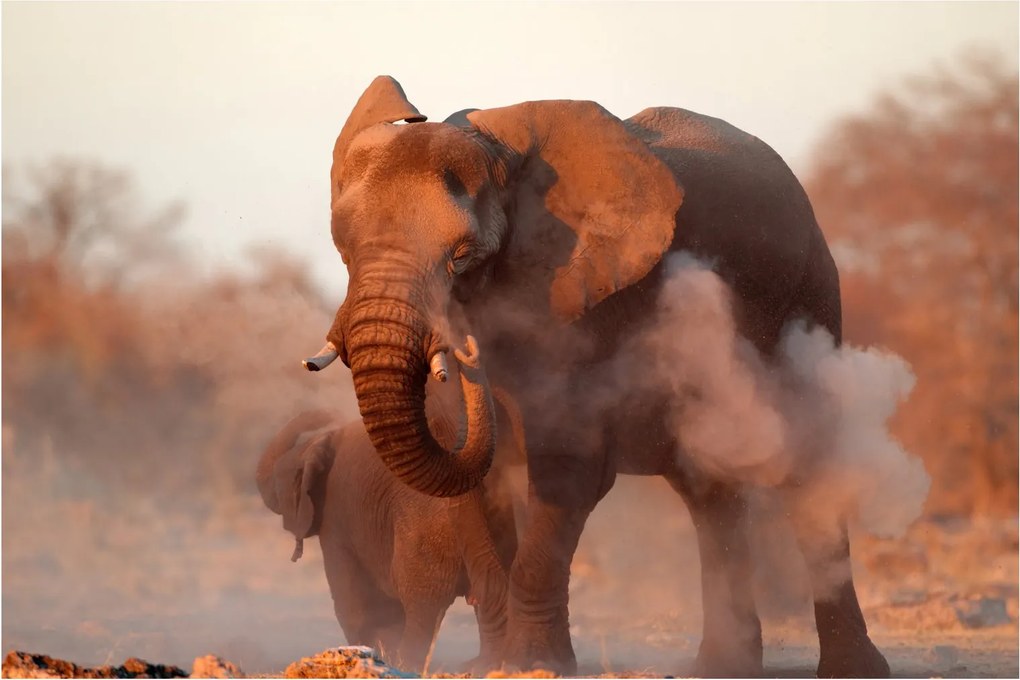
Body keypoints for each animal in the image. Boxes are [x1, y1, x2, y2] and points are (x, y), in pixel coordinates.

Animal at [257, 342, 526, 672]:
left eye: (279, 483)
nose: (327, 413)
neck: (319, 443)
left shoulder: (336, 521)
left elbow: (354, 604)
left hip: (424, 539)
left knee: (421, 607)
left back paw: (411, 663)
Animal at [302, 75, 890, 678]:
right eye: (344, 249)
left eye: (463, 257)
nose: (465, 350)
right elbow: (475, 485)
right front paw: (490, 665)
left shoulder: (585, 302)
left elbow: (568, 470)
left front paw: (532, 666)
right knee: (708, 491)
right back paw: (721, 666)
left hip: (811, 296)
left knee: (808, 471)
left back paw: (852, 669)